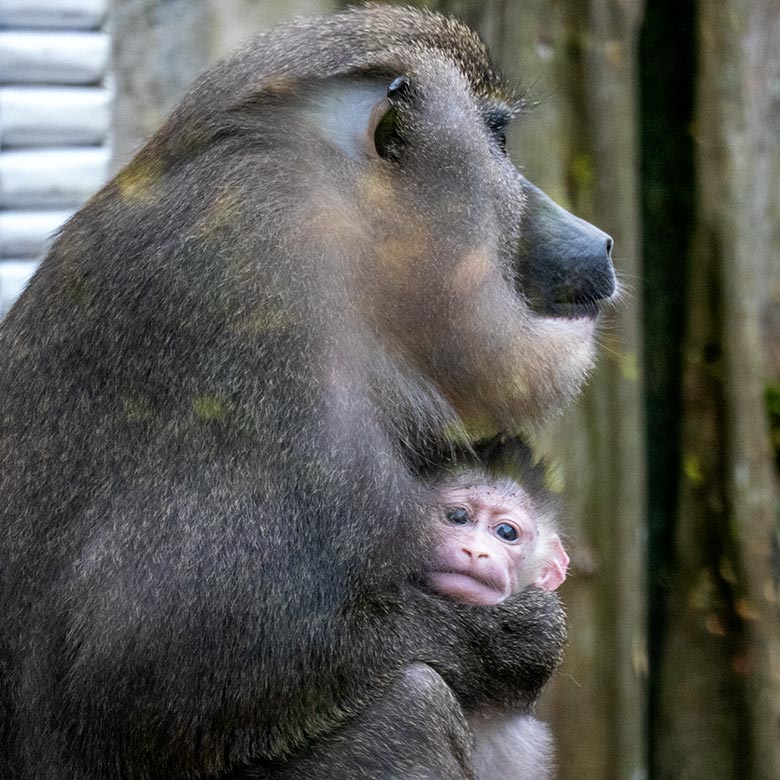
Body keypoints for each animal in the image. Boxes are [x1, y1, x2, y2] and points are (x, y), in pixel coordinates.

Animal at [0, 6, 616, 780]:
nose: (601, 240)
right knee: (410, 704)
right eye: (498, 138)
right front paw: (509, 638)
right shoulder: (266, 324)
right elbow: (146, 670)